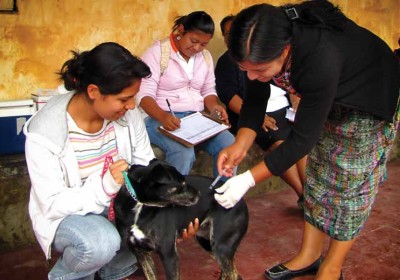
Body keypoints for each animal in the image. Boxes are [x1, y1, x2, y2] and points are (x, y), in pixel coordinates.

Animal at [112, 159, 248, 278]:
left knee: (234, 275)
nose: (199, 194)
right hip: (207, 242)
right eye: (182, 184)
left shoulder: (169, 255)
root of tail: (241, 201)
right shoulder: (141, 254)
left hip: (221, 247)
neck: (140, 205)